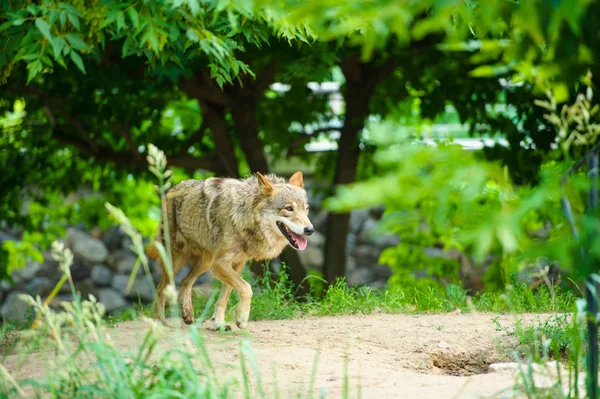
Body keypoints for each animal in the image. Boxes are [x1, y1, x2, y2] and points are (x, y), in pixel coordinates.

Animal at [146, 172, 314, 332]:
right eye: (289, 208)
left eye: (306, 209)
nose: (310, 230)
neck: (243, 216)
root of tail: (170, 189)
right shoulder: (220, 263)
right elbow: (247, 288)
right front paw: (241, 318)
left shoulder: (236, 264)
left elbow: (224, 298)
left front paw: (218, 324)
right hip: (176, 262)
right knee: (160, 288)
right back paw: (160, 322)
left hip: (205, 263)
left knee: (185, 281)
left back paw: (187, 314)